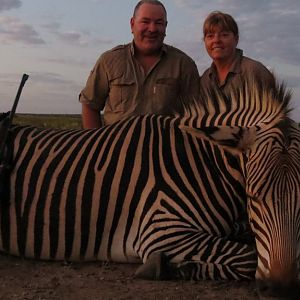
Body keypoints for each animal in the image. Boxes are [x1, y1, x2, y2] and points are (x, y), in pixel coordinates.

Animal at [0, 78, 298, 296]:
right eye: (252, 196)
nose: (280, 287)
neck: (201, 164)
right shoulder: (161, 230)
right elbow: (248, 257)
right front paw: (165, 267)